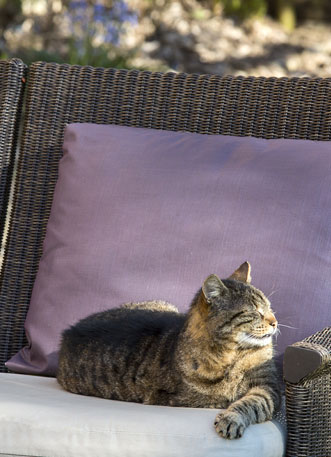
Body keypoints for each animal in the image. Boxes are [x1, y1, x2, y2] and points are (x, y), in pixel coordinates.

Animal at [57, 262, 280, 440]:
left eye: (270, 307)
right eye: (254, 312)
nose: (275, 322)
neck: (231, 353)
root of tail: (68, 333)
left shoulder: (267, 388)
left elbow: (250, 402)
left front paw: (231, 417)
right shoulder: (185, 399)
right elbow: (229, 399)